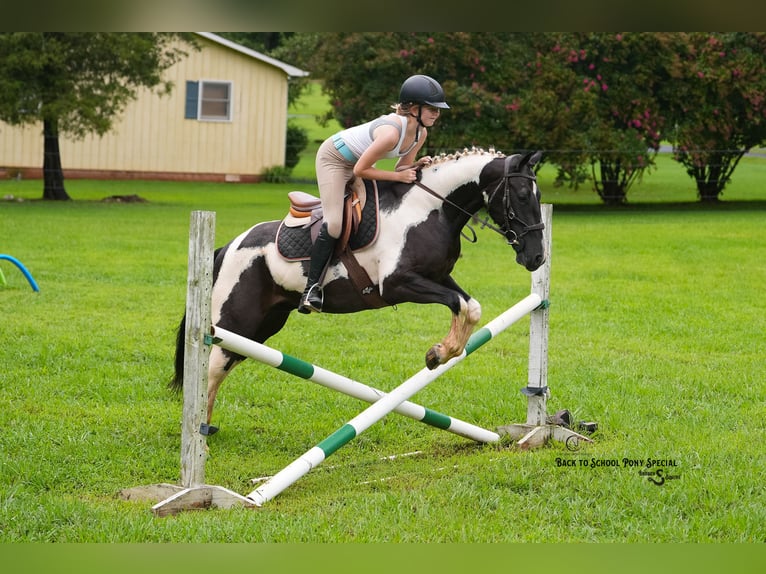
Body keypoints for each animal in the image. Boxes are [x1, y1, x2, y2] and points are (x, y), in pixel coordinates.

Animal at [171, 148, 545, 430]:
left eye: (538, 196)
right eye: (522, 196)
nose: (537, 257)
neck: (429, 210)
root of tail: (227, 247)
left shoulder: (438, 277)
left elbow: (470, 306)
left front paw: (441, 352)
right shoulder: (397, 284)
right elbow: (460, 304)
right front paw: (438, 353)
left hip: (264, 324)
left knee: (223, 365)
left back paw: (207, 426)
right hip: (235, 320)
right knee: (212, 367)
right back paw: (199, 433)